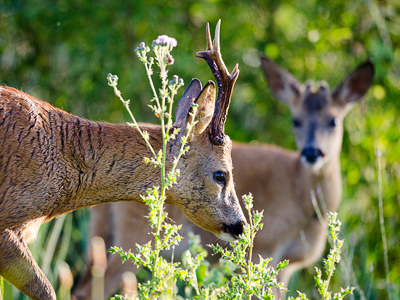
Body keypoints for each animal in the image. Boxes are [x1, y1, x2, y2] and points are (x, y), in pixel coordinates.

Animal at [72, 55, 376, 298]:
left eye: (333, 120)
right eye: (296, 120)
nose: (312, 152)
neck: (304, 199)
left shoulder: (286, 266)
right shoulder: (264, 249)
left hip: (101, 231)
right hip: (135, 235)